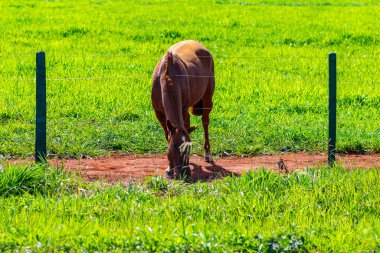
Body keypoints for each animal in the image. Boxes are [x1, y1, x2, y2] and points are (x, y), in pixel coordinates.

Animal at [152, 40, 217, 178]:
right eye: (175, 147)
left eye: (189, 148)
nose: (185, 172)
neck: (167, 76)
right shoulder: (159, 113)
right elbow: (168, 135)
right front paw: (169, 168)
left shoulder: (184, 111)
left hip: (207, 98)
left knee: (205, 122)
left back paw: (208, 153)